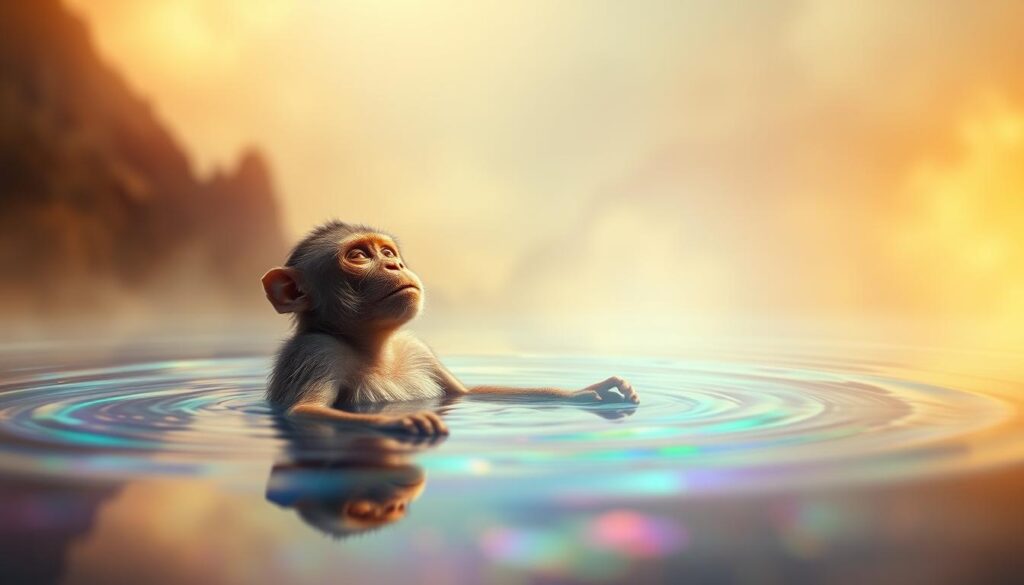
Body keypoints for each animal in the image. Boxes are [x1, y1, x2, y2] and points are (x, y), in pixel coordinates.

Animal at [262, 220, 638, 436]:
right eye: (358, 256)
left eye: (388, 252)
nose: (395, 265)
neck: (375, 345)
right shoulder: (316, 352)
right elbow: (304, 411)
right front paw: (397, 423)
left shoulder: (417, 348)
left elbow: (464, 393)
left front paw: (583, 391)